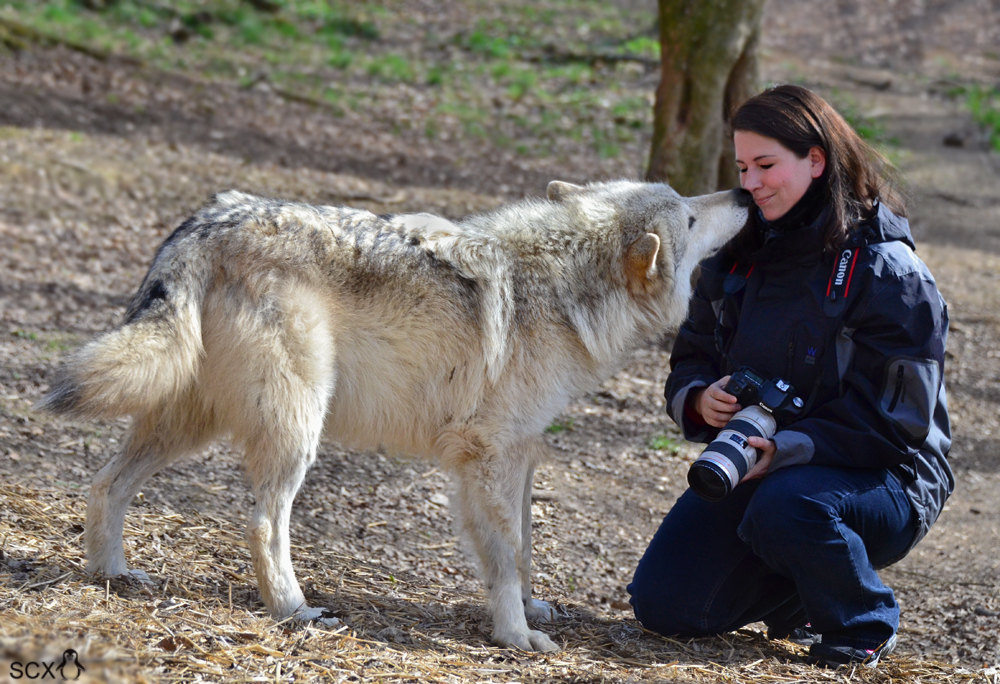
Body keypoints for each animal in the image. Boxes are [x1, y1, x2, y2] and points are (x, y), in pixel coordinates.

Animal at [41, 180, 752, 652]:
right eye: (693, 215)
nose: (744, 191)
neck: (566, 290)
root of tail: (209, 218)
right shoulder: (485, 453)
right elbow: (501, 554)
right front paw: (515, 636)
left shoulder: (520, 451)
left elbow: (523, 545)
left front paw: (529, 608)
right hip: (296, 430)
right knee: (263, 523)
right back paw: (294, 610)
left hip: (189, 419)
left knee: (105, 482)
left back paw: (109, 574)